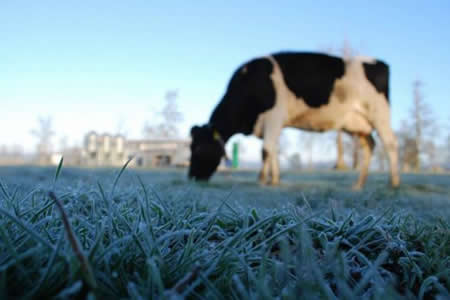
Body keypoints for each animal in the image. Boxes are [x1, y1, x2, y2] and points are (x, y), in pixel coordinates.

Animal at [188, 51, 400, 188]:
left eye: (197, 149)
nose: (191, 177)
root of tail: (381, 64)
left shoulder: (274, 114)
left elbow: (266, 150)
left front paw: (261, 179)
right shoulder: (272, 124)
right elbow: (273, 150)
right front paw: (273, 180)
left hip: (379, 114)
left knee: (390, 144)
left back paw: (394, 182)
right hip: (358, 125)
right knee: (370, 145)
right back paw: (359, 184)